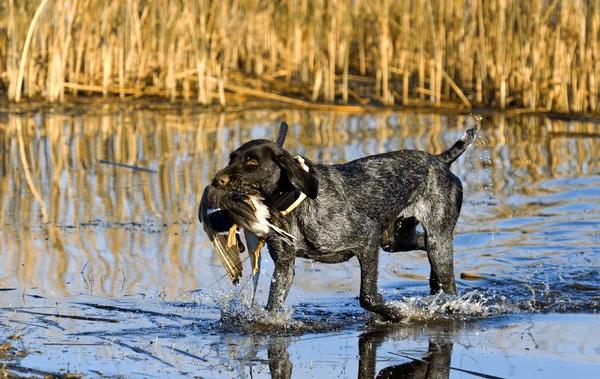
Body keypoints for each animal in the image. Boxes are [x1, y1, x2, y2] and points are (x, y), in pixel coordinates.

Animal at [205, 127, 474, 320]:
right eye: (232, 158)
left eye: (252, 162)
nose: (216, 180)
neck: (295, 204)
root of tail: (440, 160)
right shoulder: (284, 266)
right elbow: (274, 304)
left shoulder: (367, 239)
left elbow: (367, 297)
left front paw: (397, 313)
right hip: (396, 240)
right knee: (422, 245)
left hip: (435, 240)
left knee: (449, 284)